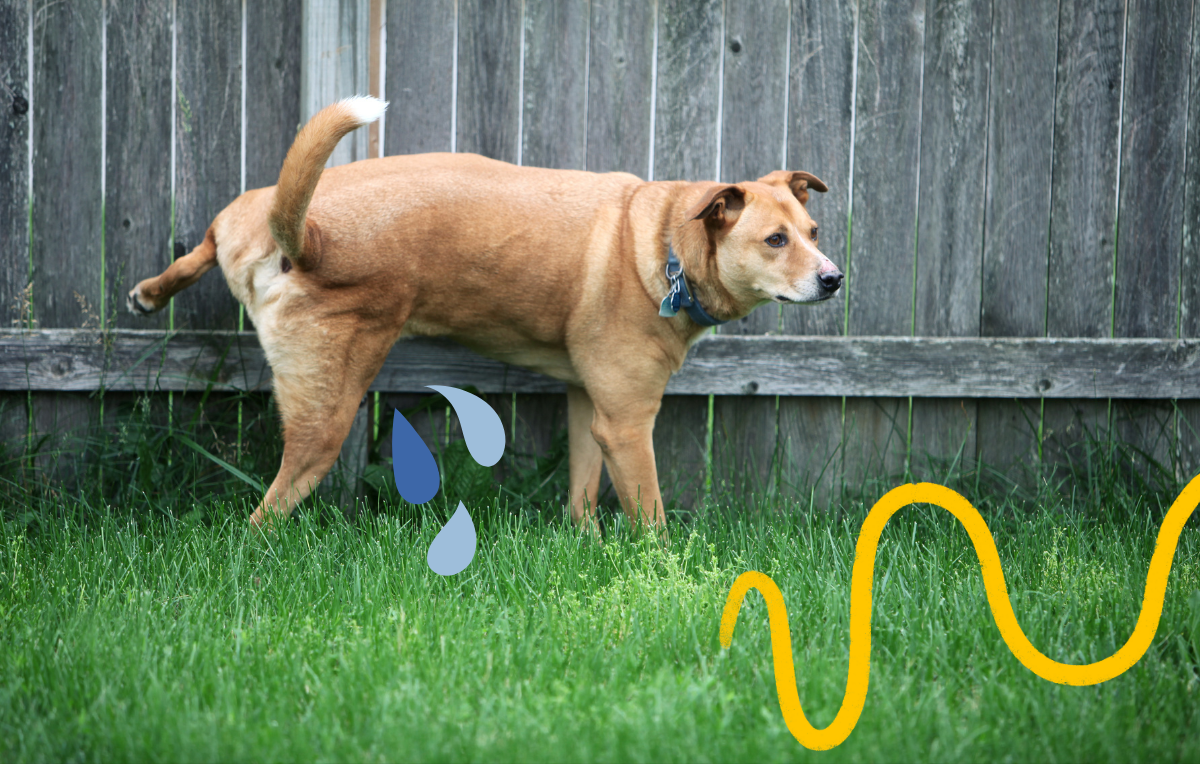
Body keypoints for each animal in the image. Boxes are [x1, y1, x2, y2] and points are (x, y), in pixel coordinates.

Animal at [126, 98, 844, 530]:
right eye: (775, 241)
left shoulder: (591, 406)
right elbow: (652, 517)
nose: (834, 278)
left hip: (244, 213)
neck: (664, 240)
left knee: (206, 241)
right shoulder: (628, 422)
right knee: (266, 513)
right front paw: (663, 576)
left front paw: (583, 543)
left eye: (812, 231)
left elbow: (582, 490)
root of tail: (305, 236)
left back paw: (154, 290)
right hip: (325, 413)